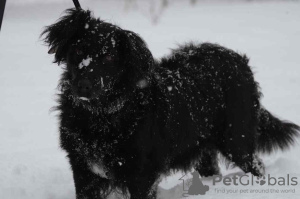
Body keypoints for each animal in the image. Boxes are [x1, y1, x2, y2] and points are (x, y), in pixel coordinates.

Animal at [42, 8, 300, 198]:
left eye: (109, 57)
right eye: (77, 51)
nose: (83, 86)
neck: (101, 114)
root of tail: (240, 60)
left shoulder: (142, 175)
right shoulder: (82, 170)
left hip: (237, 138)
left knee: (257, 165)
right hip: (204, 145)